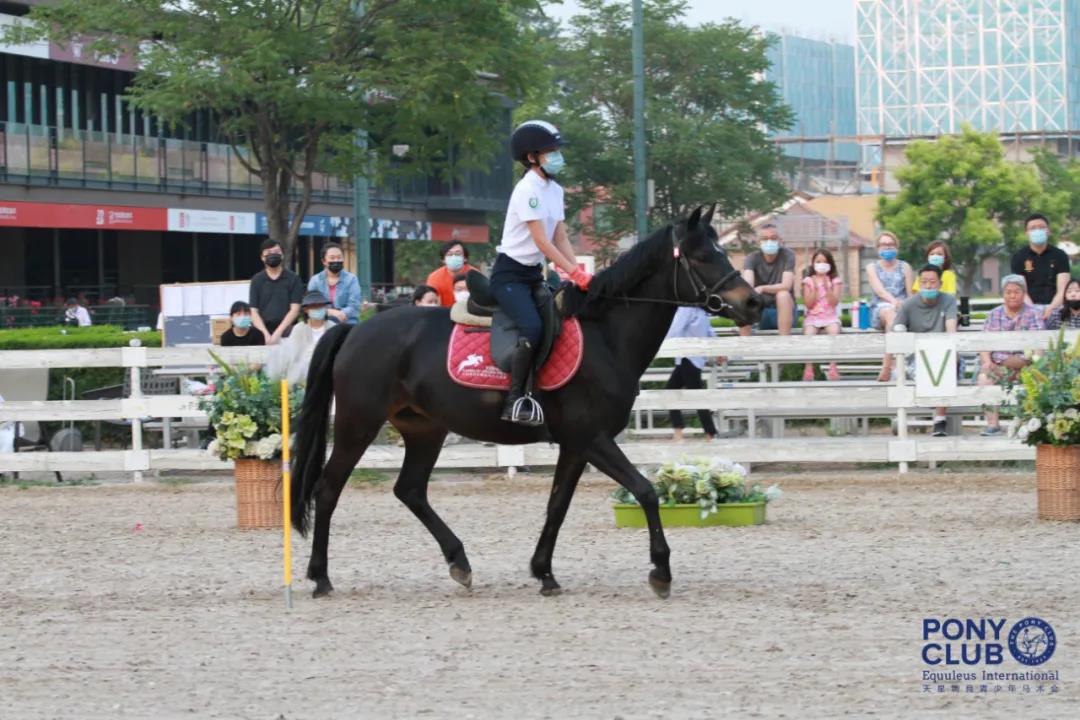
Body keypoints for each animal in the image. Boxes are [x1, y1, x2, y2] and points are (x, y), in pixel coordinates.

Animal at [292, 205, 763, 598]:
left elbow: (557, 505)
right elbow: (645, 491)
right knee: (328, 488)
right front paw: (660, 571)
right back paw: (321, 577)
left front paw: (544, 572)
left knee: (410, 489)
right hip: (358, 424)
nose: (754, 302)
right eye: (703, 257)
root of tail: (357, 328)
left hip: (425, 429)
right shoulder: (592, 438)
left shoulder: (576, 445)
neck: (606, 336)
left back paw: (460, 562)